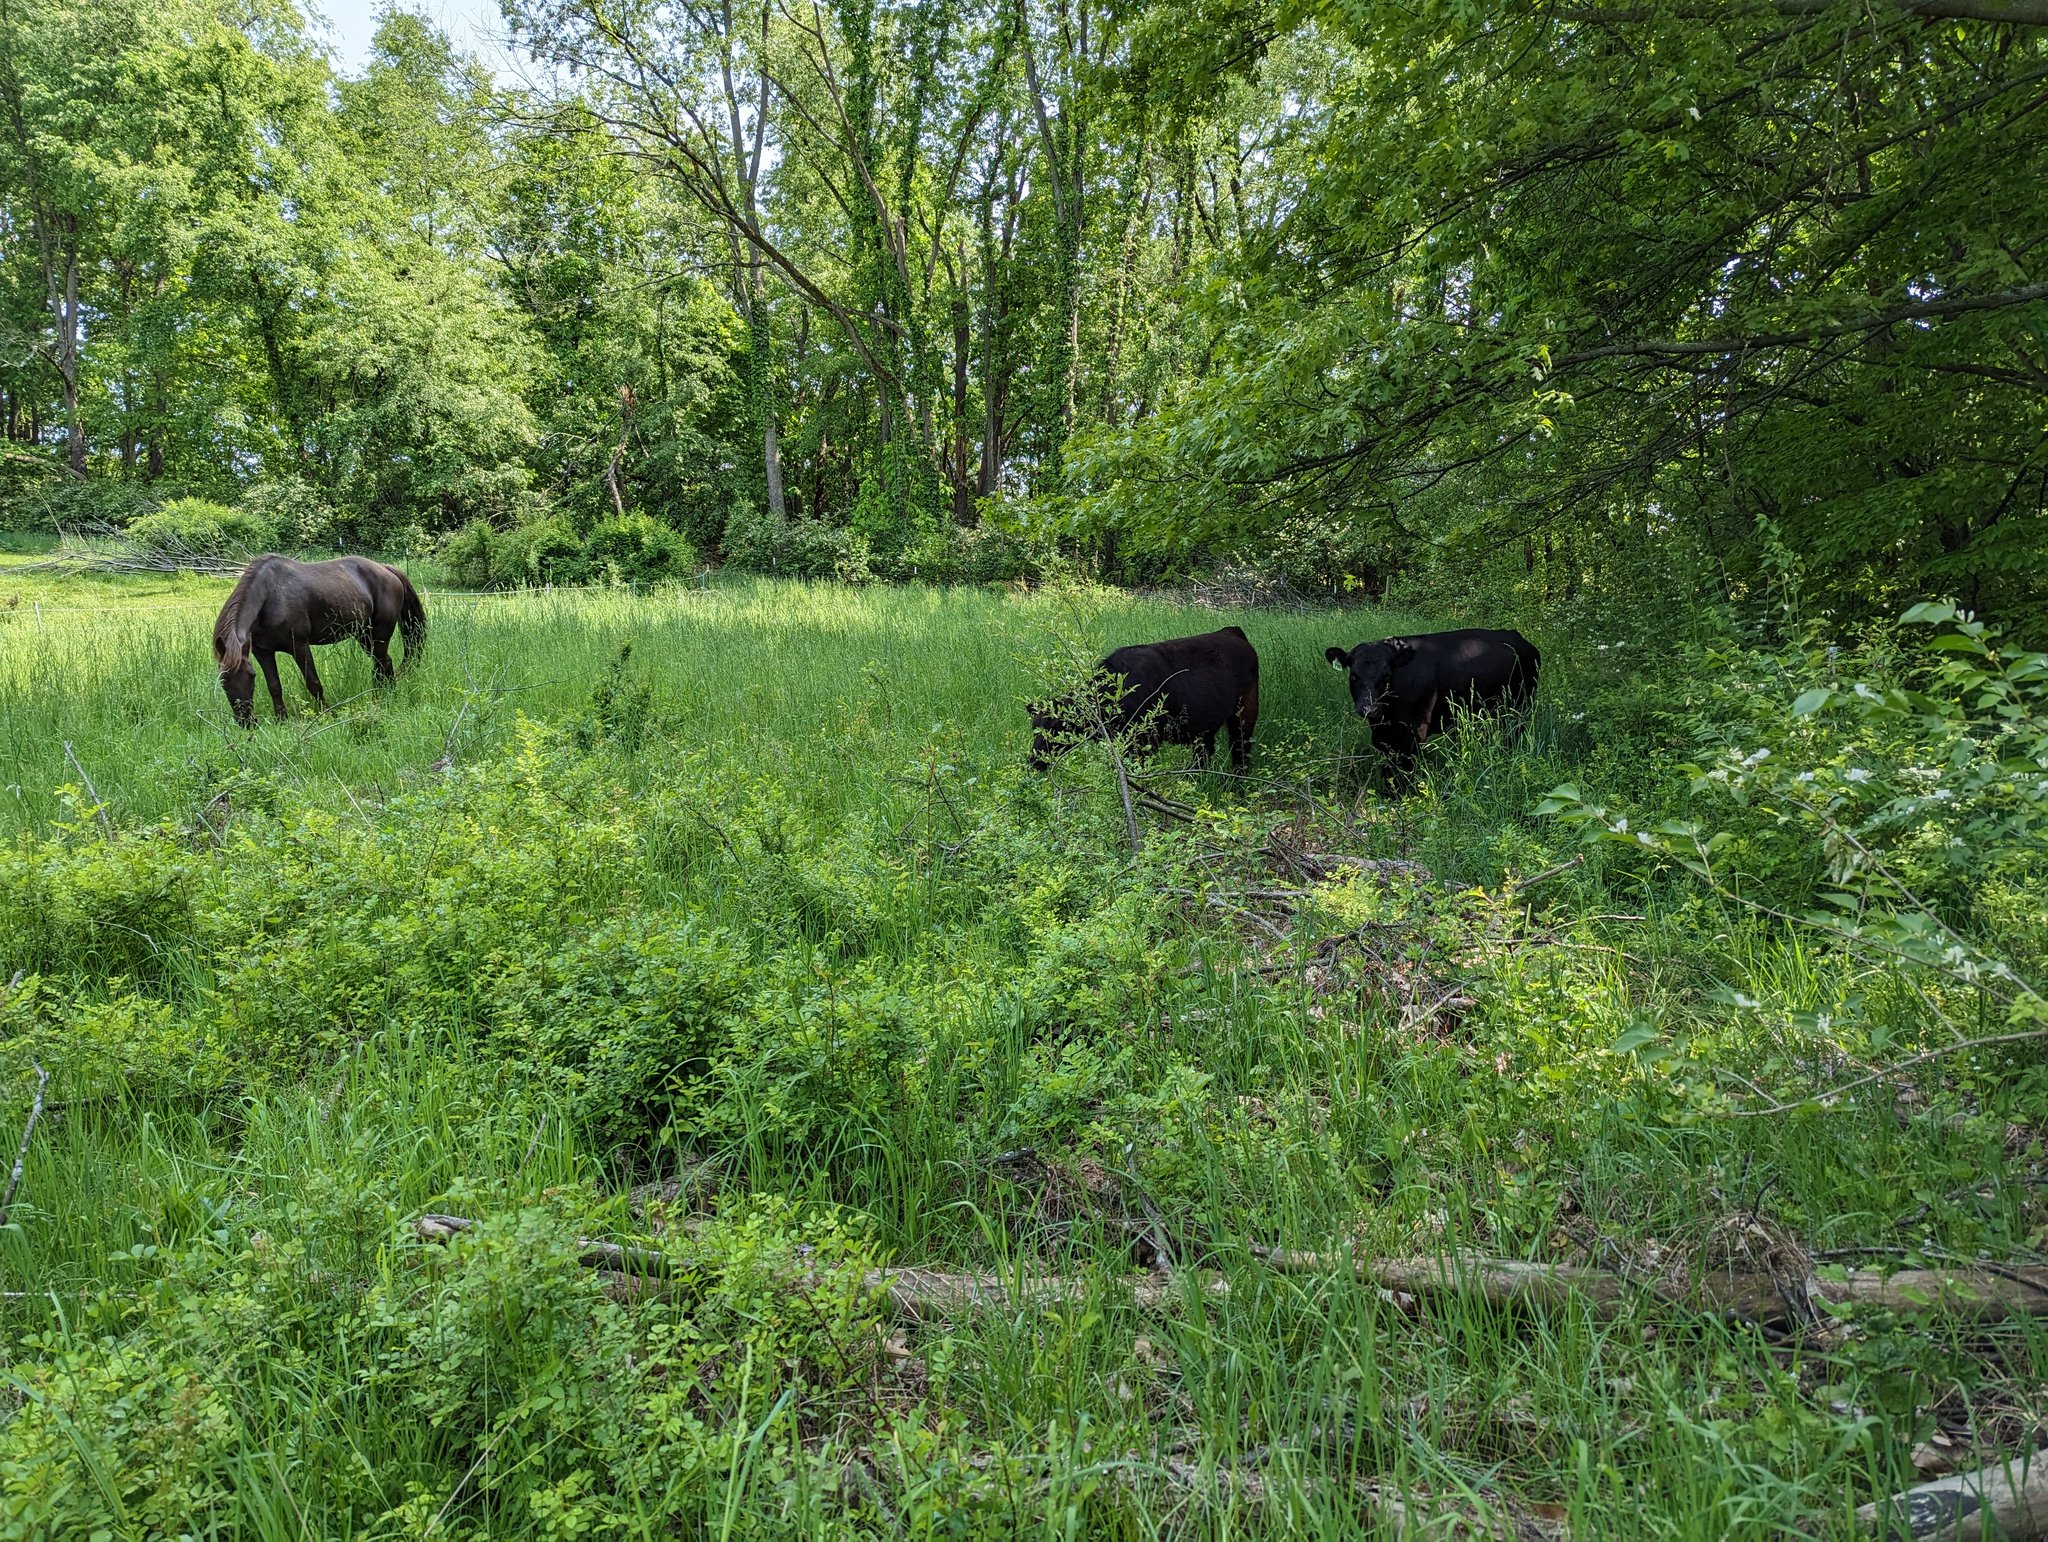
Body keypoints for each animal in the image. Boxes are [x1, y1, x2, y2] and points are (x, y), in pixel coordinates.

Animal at [214, 557, 425, 724]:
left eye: (251, 676)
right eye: (223, 680)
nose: (246, 722)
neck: (269, 596)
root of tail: (387, 569)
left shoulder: (299, 646)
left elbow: (313, 683)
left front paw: (327, 715)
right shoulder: (262, 651)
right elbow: (274, 686)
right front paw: (281, 720)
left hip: (379, 635)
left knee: (382, 664)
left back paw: (385, 698)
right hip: (365, 636)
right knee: (383, 664)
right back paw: (383, 697)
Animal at [1032, 622, 1253, 769]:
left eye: (1054, 728)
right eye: (1034, 728)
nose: (1034, 761)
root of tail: (1232, 631)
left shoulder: (1146, 741)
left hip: (1245, 714)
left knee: (1241, 752)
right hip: (1203, 728)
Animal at [1327, 622, 1540, 769]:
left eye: (1386, 676)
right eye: (1353, 676)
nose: (1369, 708)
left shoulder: (1413, 732)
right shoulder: (1384, 735)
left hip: (1519, 709)